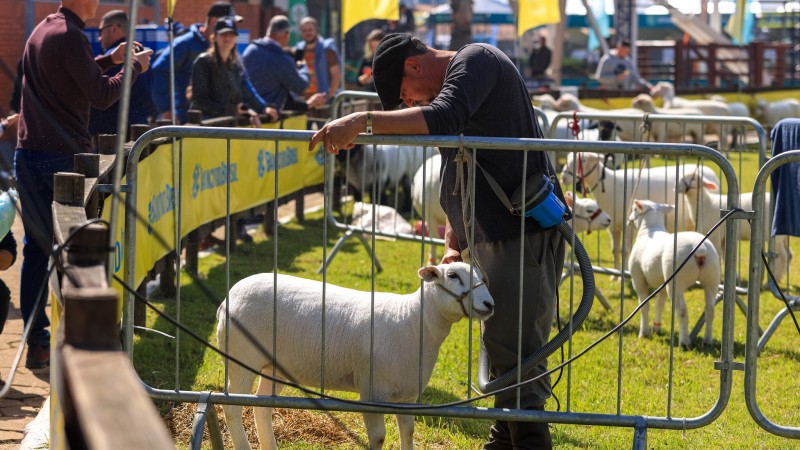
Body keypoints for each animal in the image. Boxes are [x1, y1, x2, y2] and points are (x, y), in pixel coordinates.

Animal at [219, 262, 494, 448]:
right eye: (453, 275)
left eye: (482, 276)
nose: (489, 304)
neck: (412, 320)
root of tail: (229, 295)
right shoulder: (371, 392)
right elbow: (379, 438)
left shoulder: (407, 396)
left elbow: (408, 433)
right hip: (241, 358)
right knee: (232, 407)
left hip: (272, 366)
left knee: (261, 407)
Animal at [560, 153, 720, 274]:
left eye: (583, 160)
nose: (563, 177)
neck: (610, 186)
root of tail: (709, 170)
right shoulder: (612, 226)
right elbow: (615, 250)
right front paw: (615, 275)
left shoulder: (628, 225)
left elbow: (625, 250)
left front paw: (624, 274)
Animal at [628, 200, 720, 348]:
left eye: (634, 209)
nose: (629, 220)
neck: (650, 229)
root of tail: (701, 249)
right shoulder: (662, 284)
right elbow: (659, 305)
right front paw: (657, 328)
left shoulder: (638, 280)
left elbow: (644, 307)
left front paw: (644, 333)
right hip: (711, 278)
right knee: (710, 310)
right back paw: (707, 340)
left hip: (677, 281)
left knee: (682, 311)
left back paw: (684, 342)